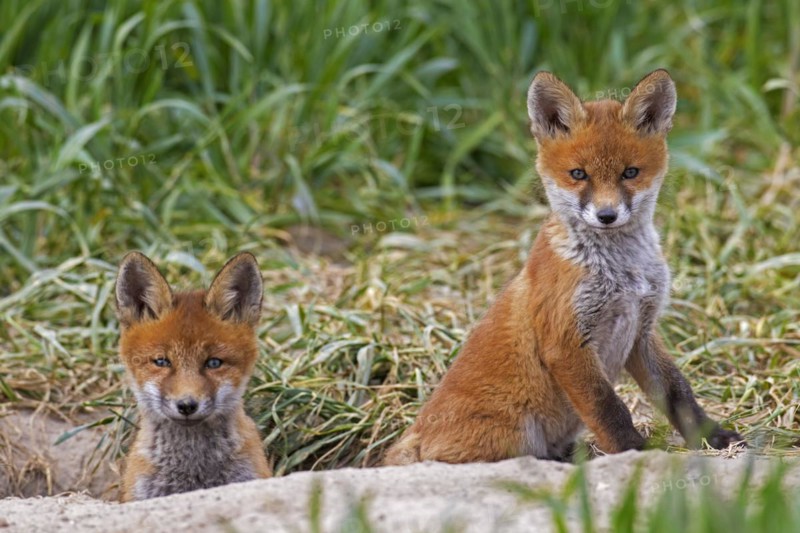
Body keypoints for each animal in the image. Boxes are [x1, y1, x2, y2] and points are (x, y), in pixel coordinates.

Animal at [384, 69, 744, 466]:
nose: (606, 215)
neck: (623, 274)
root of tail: (415, 433)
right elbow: (608, 407)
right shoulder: (566, 340)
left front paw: (714, 437)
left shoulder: (642, 330)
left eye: (630, 173)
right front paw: (634, 452)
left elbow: (678, 391)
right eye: (579, 174)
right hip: (517, 434)